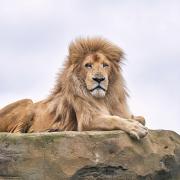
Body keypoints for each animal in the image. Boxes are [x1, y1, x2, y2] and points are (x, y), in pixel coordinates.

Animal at [0, 37, 148, 140]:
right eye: (88, 65)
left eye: (105, 65)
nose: (99, 79)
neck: (105, 98)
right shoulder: (86, 121)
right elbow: (113, 119)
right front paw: (136, 127)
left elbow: (140, 118)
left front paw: (137, 121)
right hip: (28, 102)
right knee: (16, 133)